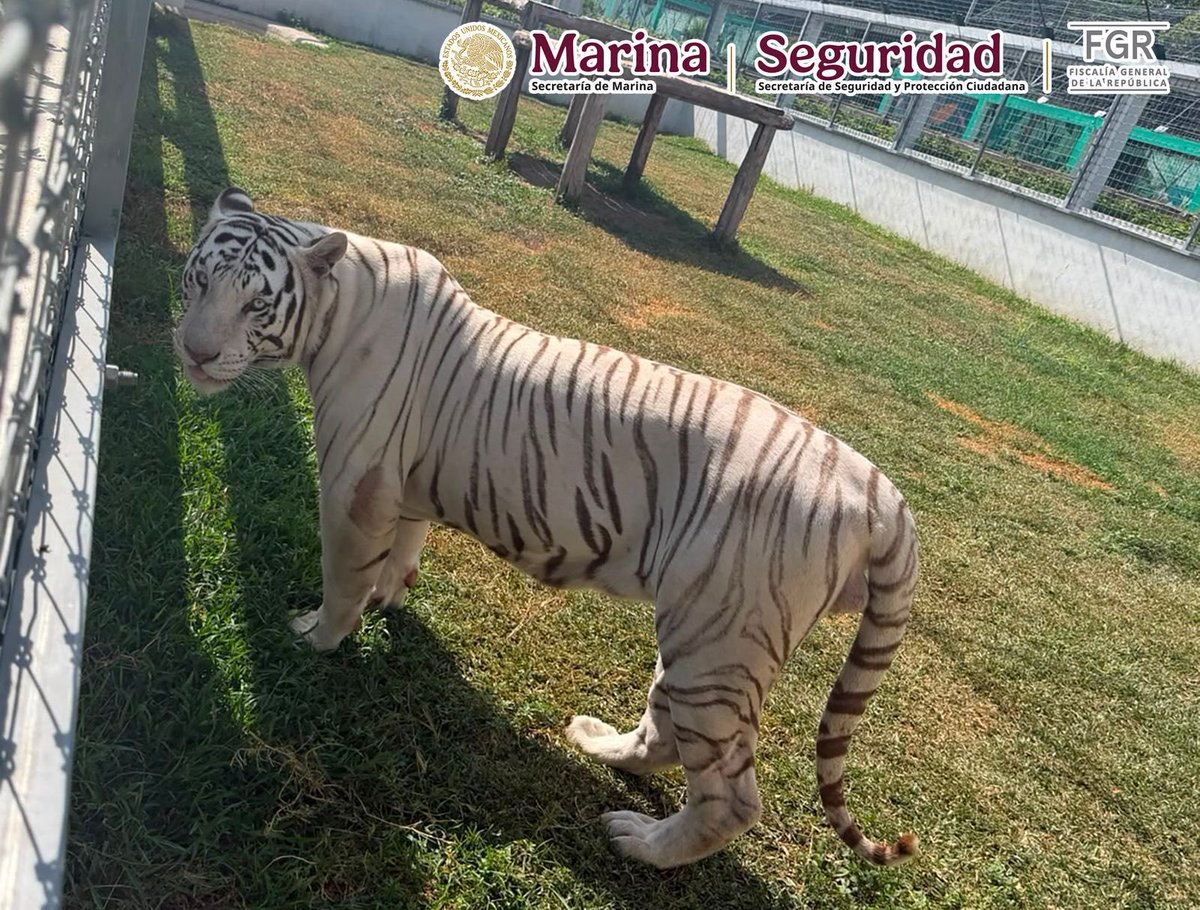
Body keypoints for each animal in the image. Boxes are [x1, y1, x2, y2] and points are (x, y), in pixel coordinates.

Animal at [174, 187, 921, 870]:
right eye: (199, 279)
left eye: (256, 305)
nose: (194, 354)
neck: (339, 303)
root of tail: (881, 493)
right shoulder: (403, 485)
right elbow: (402, 550)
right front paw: (392, 597)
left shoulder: (354, 487)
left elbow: (342, 577)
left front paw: (317, 636)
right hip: (700, 635)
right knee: (667, 733)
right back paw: (598, 744)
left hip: (721, 638)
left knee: (732, 796)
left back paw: (640, 843)